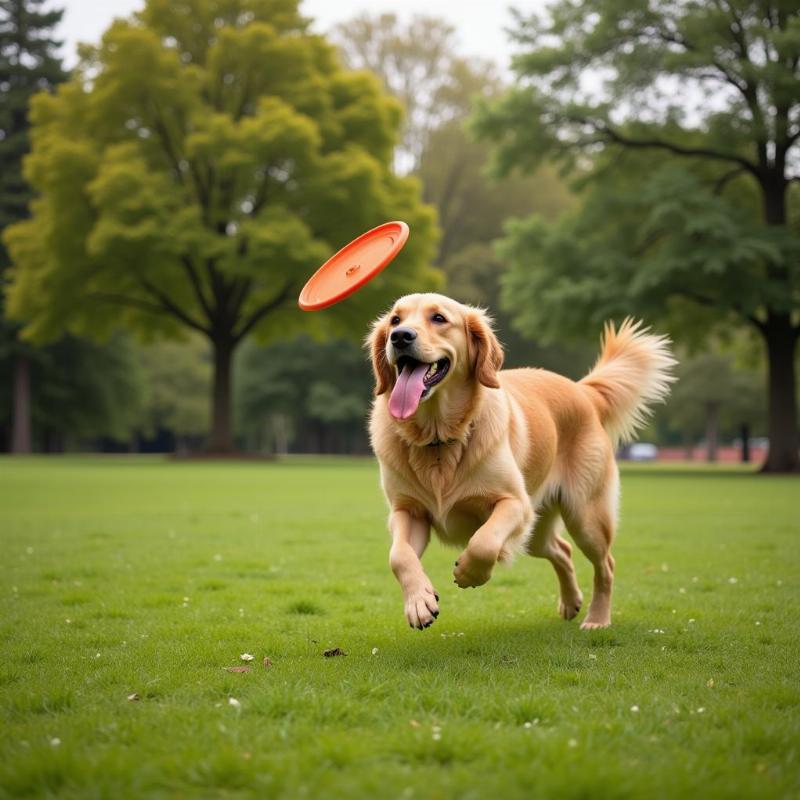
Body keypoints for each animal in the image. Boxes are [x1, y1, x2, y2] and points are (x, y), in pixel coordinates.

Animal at [368, 294, 676, 632]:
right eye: (395, 320)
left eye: (438, 318)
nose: (400, 337)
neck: (438, 440)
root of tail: (582, 390)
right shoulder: (407, 511)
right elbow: (399, 555)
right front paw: (419, 603)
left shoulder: (515, 503)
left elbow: (484, 541)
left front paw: (470, 572)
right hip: (538, 532)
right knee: (562, 550)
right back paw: (571, 602)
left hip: (585, 516)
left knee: (605, 564)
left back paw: (597, 619)